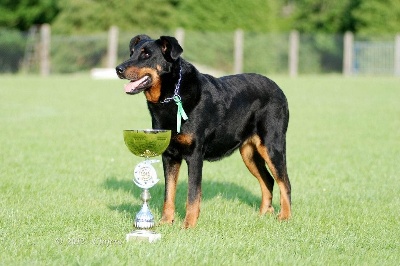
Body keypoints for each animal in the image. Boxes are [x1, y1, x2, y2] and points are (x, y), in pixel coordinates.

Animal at [115, 34, 290, 228]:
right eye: (132, 52)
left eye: (146, 54)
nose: (118, 69)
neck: (172, 97)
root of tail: (278, 89)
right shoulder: (169, 155)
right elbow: (169, 193)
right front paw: (166, 222)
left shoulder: (194, 155)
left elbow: (192, 194)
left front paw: (188, 225)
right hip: (249, 152)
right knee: (268, 180)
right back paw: (262, 215)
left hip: (272, 147)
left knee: (284, 182)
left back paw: (284, 217)